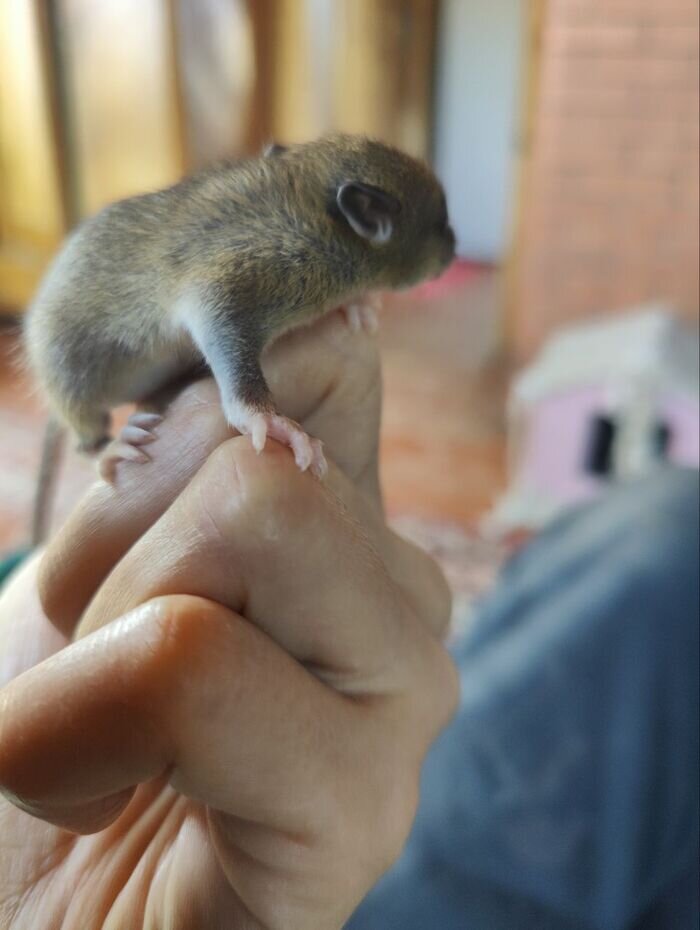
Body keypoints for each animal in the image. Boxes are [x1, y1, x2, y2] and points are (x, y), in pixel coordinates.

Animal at [24, 133, 456, 536]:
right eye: (439, 223)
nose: (454, 249)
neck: (317, 209)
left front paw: (357, 305)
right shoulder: (245, 274)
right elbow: (223, 332)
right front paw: (267, 419)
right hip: (69, 370)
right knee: (83, 432)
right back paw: (108, 447)